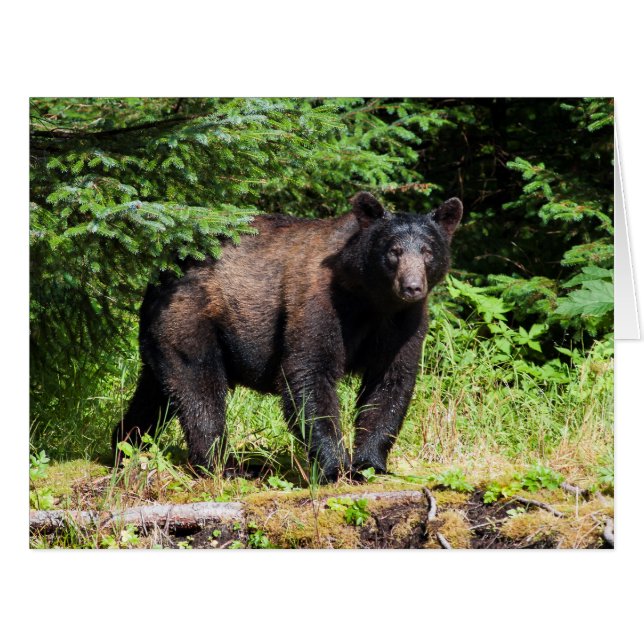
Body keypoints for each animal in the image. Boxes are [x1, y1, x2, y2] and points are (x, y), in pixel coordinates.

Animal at [113, 192, 462, 482]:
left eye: (428, 251)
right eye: (394, 251)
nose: (412, 286)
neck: (371, 299)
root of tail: (161, 272)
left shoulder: (404, 322)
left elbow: (390, 382)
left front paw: (369, 464)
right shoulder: (320, 301)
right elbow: (309, 372)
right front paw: (334, 467)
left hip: (164, 334)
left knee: (155, 392)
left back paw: (125, 444)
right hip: (191, 318)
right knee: (199, 387)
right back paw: (225, 466)